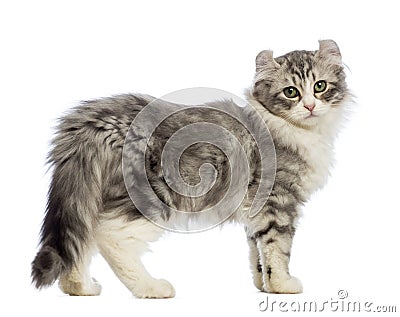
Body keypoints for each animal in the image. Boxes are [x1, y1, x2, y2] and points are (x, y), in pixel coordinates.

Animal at [31, 39, 350, 296]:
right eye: (291, 92)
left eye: (319, 87)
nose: (310, 106)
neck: (298, 131)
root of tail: (99, 119)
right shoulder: (279, 201)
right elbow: (277, 249)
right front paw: (283, 285)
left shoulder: (255, 210)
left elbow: (256, 253)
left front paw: (264, 286)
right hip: (153, 197)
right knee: (108, 237)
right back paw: (151, 288)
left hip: (87, 197)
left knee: (80, 240)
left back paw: (80, 288)